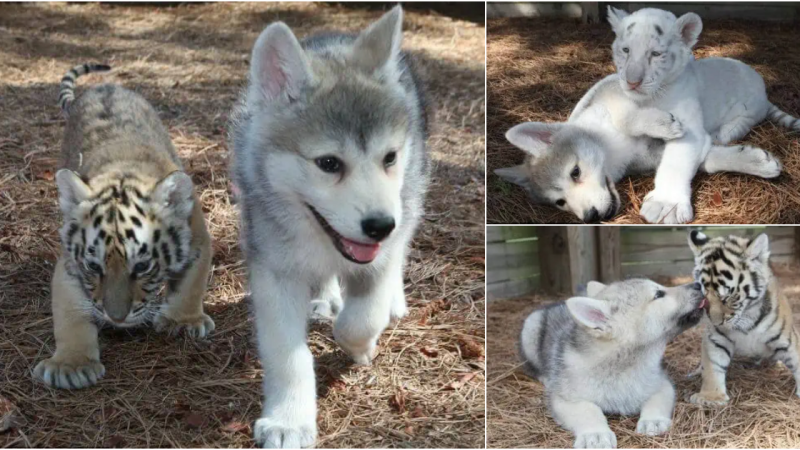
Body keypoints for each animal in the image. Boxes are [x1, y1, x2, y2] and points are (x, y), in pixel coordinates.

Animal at [34, 64, 214, 390]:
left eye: (142, 266)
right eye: (94, 267)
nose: (117, 318)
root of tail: (102, 86)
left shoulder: (197, 240)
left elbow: (192, 284)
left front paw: (183, 321)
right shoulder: (70, 266)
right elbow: (70, 313)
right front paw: (71, 364)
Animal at [231, 5, 432, 448]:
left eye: (389, 157)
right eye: (328, 163)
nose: (380, 226)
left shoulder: (380, 253)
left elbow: (362, 318)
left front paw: (360, 346)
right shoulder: (274, 270)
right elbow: (287, 354)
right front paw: (289, 421)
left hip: (411, 197)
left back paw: (393, 301)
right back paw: (325, 297)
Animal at [524, 280, 708, 448]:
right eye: (658, 294)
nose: (698, 284)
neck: (621, 366)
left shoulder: (661, 384)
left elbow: (656, 401)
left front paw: (653, 420)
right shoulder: (566, 399)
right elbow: (588, 410)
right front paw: (596, 434)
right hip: (530, 330)